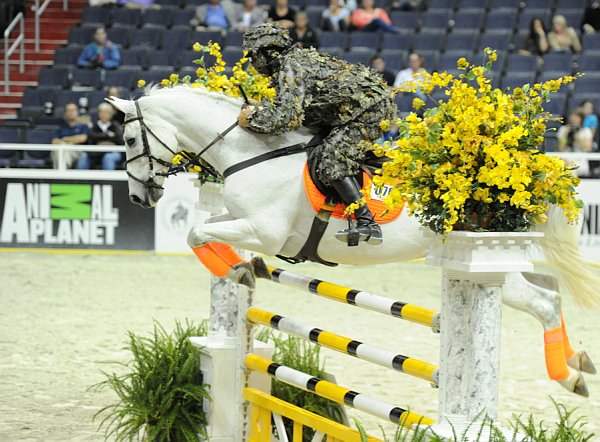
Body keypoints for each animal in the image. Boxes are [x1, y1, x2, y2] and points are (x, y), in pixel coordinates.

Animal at [109, 86, 600, 398]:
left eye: (130, 138)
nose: (138, 197)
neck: (253, 154)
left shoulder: (263, 230)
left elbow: (196, 232)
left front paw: (238, 269)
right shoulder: (241, 220)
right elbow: (201, 230)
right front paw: (243, 268)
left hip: (484, 258)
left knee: (541, 300)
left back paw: (568, 377)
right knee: (549, 292)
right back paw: (577, 366)